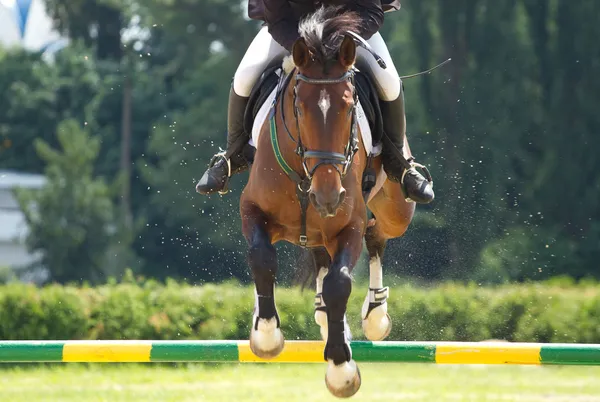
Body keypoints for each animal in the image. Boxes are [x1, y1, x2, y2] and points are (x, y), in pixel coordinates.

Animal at [237, 6, 414, 398]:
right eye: (299, 109)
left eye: (350, 109)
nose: (328, 196)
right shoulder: (252, 210)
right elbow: (262, 258)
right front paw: (266, 334)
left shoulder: (349, 224)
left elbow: (340, 282)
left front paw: (341, 369)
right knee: (321, 256)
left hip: (395, 210)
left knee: (376, 237)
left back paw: (375, 314)